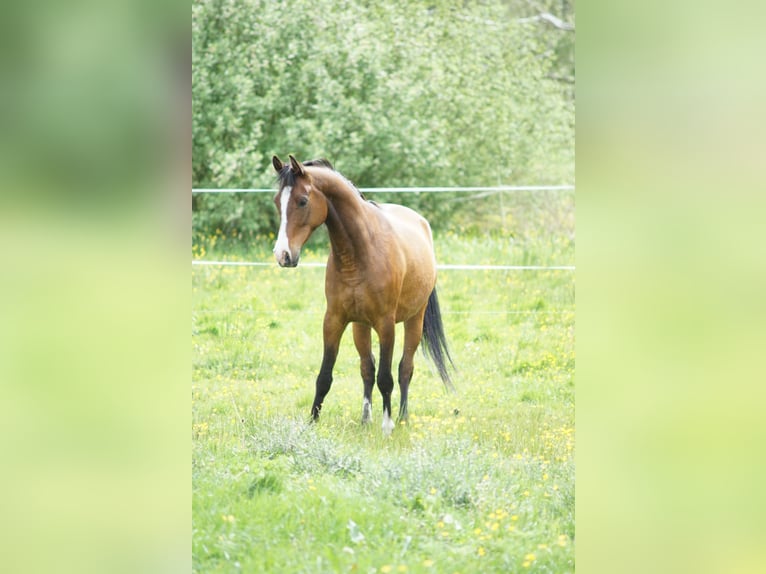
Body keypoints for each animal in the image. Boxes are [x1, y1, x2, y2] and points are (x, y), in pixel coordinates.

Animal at [272, 155, 456, 434]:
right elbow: (325, 376)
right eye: (276, 202)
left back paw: (402, 417)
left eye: (302, 200)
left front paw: (387, 426)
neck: (358, 254)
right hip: (360, 326)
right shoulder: (334, 321)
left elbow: (386, 378)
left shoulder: (385, 324)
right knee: (367, 368)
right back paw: (365, 419)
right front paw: (312, 423)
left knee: (405, 368)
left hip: (414, 319)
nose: (283, 255)